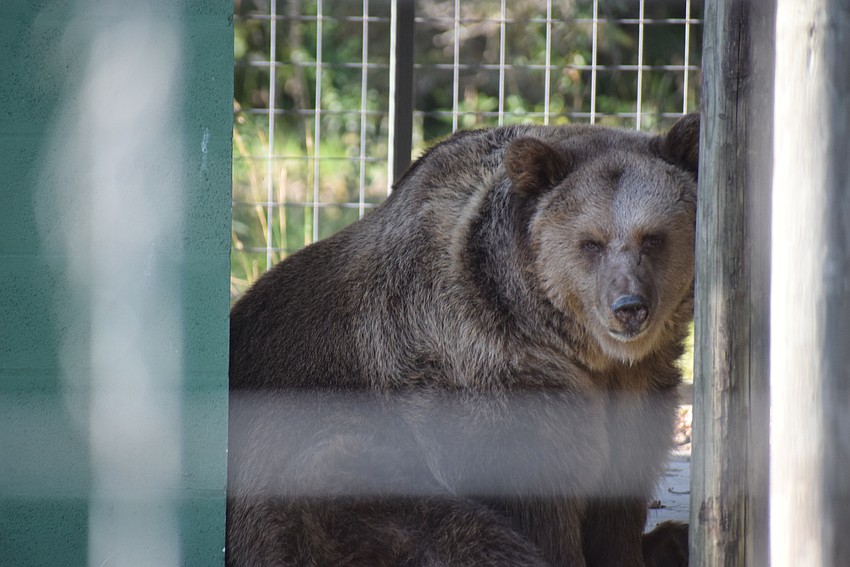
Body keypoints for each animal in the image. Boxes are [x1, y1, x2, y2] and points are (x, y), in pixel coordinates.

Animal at [226, 113, 700, 567]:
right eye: (591, 243)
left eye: (653, 238)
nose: (629, 306)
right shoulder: (488, 382)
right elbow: (535, 496)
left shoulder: (638, 389)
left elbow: (619, 497)